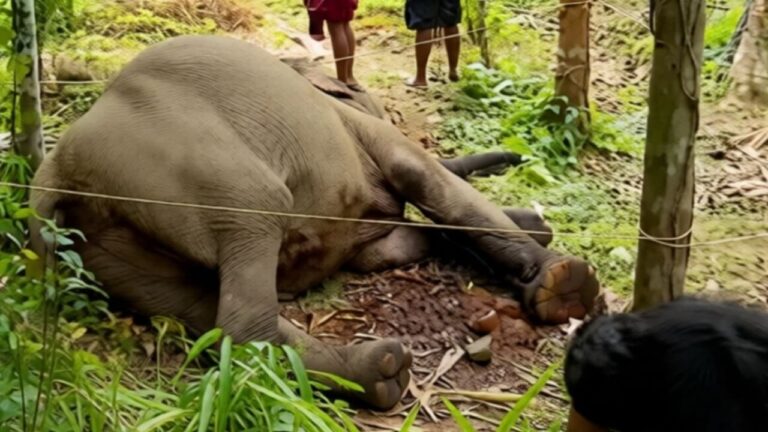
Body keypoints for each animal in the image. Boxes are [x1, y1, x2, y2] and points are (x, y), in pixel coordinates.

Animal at [29, 35, 600, 410]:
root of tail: (58, 174)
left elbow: (391, 248)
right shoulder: (359, 129)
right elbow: (428, 180)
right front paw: (563, 284)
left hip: (102, 248)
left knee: (192, 305)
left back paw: (381, 374)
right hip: (196, 170)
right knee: (243, 288)